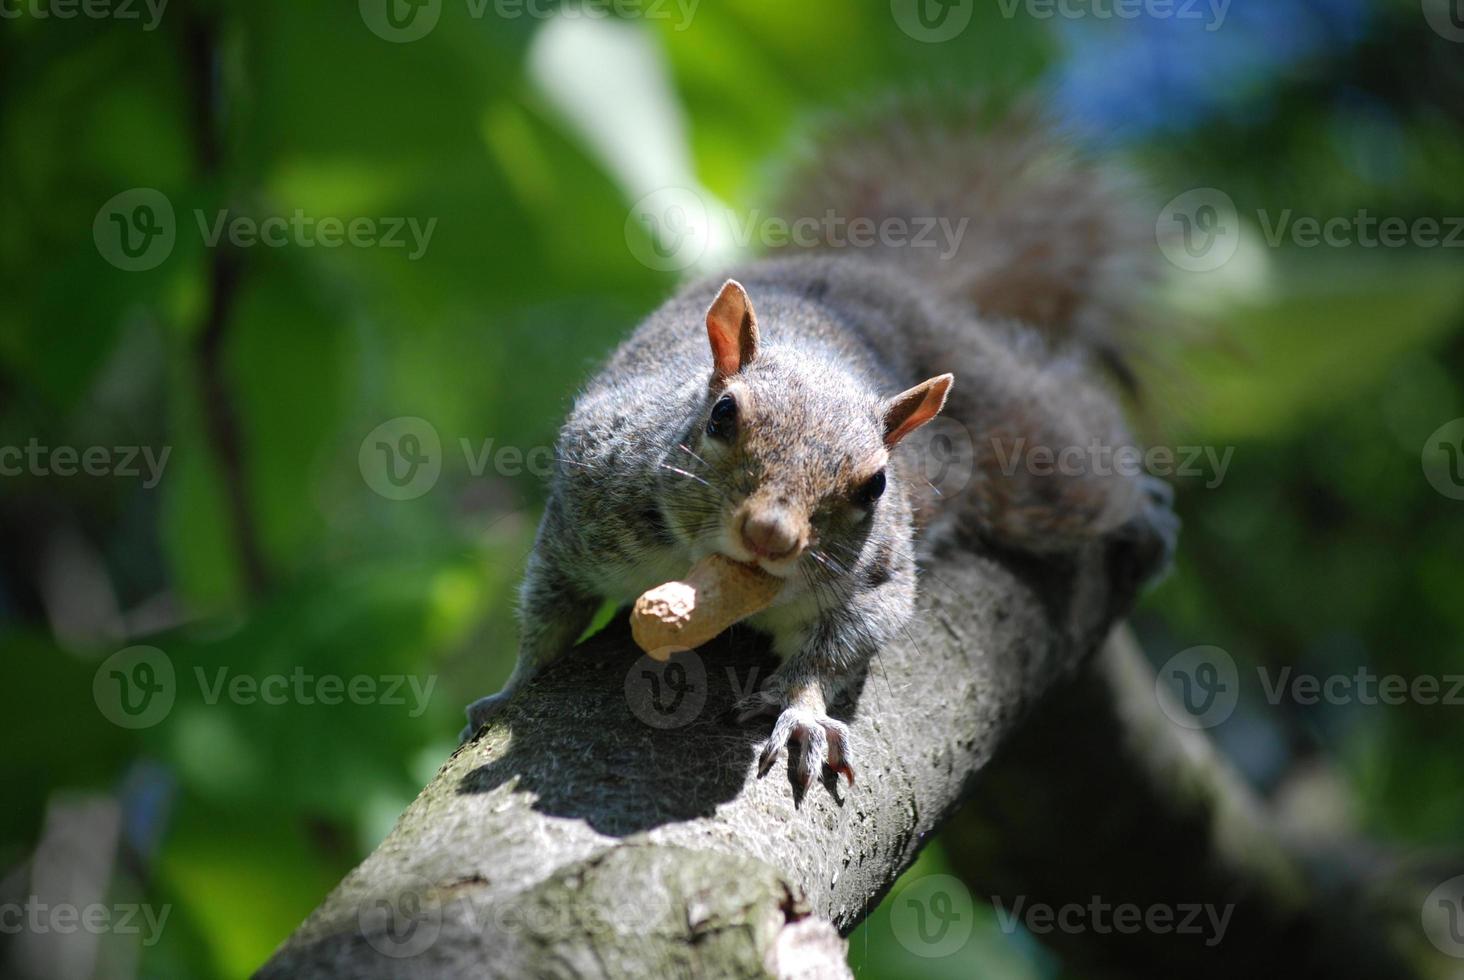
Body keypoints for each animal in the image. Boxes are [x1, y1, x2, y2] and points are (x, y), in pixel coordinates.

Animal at [462, 95, 1182, 791]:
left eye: (877, 483)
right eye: (722, 415)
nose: (771, 535)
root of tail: (887, 277)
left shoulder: (878, 576)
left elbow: (837, 647)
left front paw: (803, 715)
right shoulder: (586, 507)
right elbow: (549, 611)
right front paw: (510, 690)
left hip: (1035, 457)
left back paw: (1143, 509)